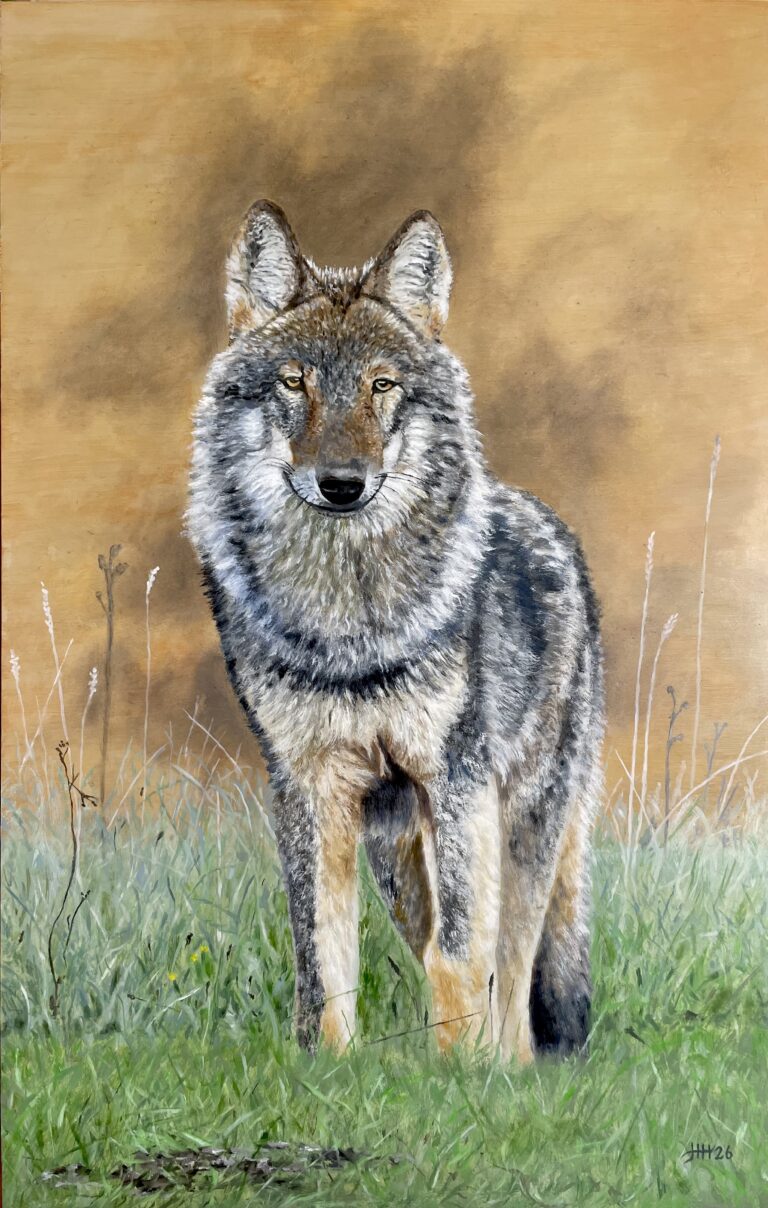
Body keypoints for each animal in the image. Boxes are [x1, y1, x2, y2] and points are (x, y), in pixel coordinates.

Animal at [187, 201, 604, 1062]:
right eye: (295, 381)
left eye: (382, 386)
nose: (342, 484)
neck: (350, 627)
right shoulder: (308, 786)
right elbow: (323, 960)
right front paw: (330, 1069)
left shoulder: (456, 780)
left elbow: (462, 956)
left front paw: (459, 1076)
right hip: (398, 856)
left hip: (523, 830)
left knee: (513, 973)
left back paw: (511, 1068)